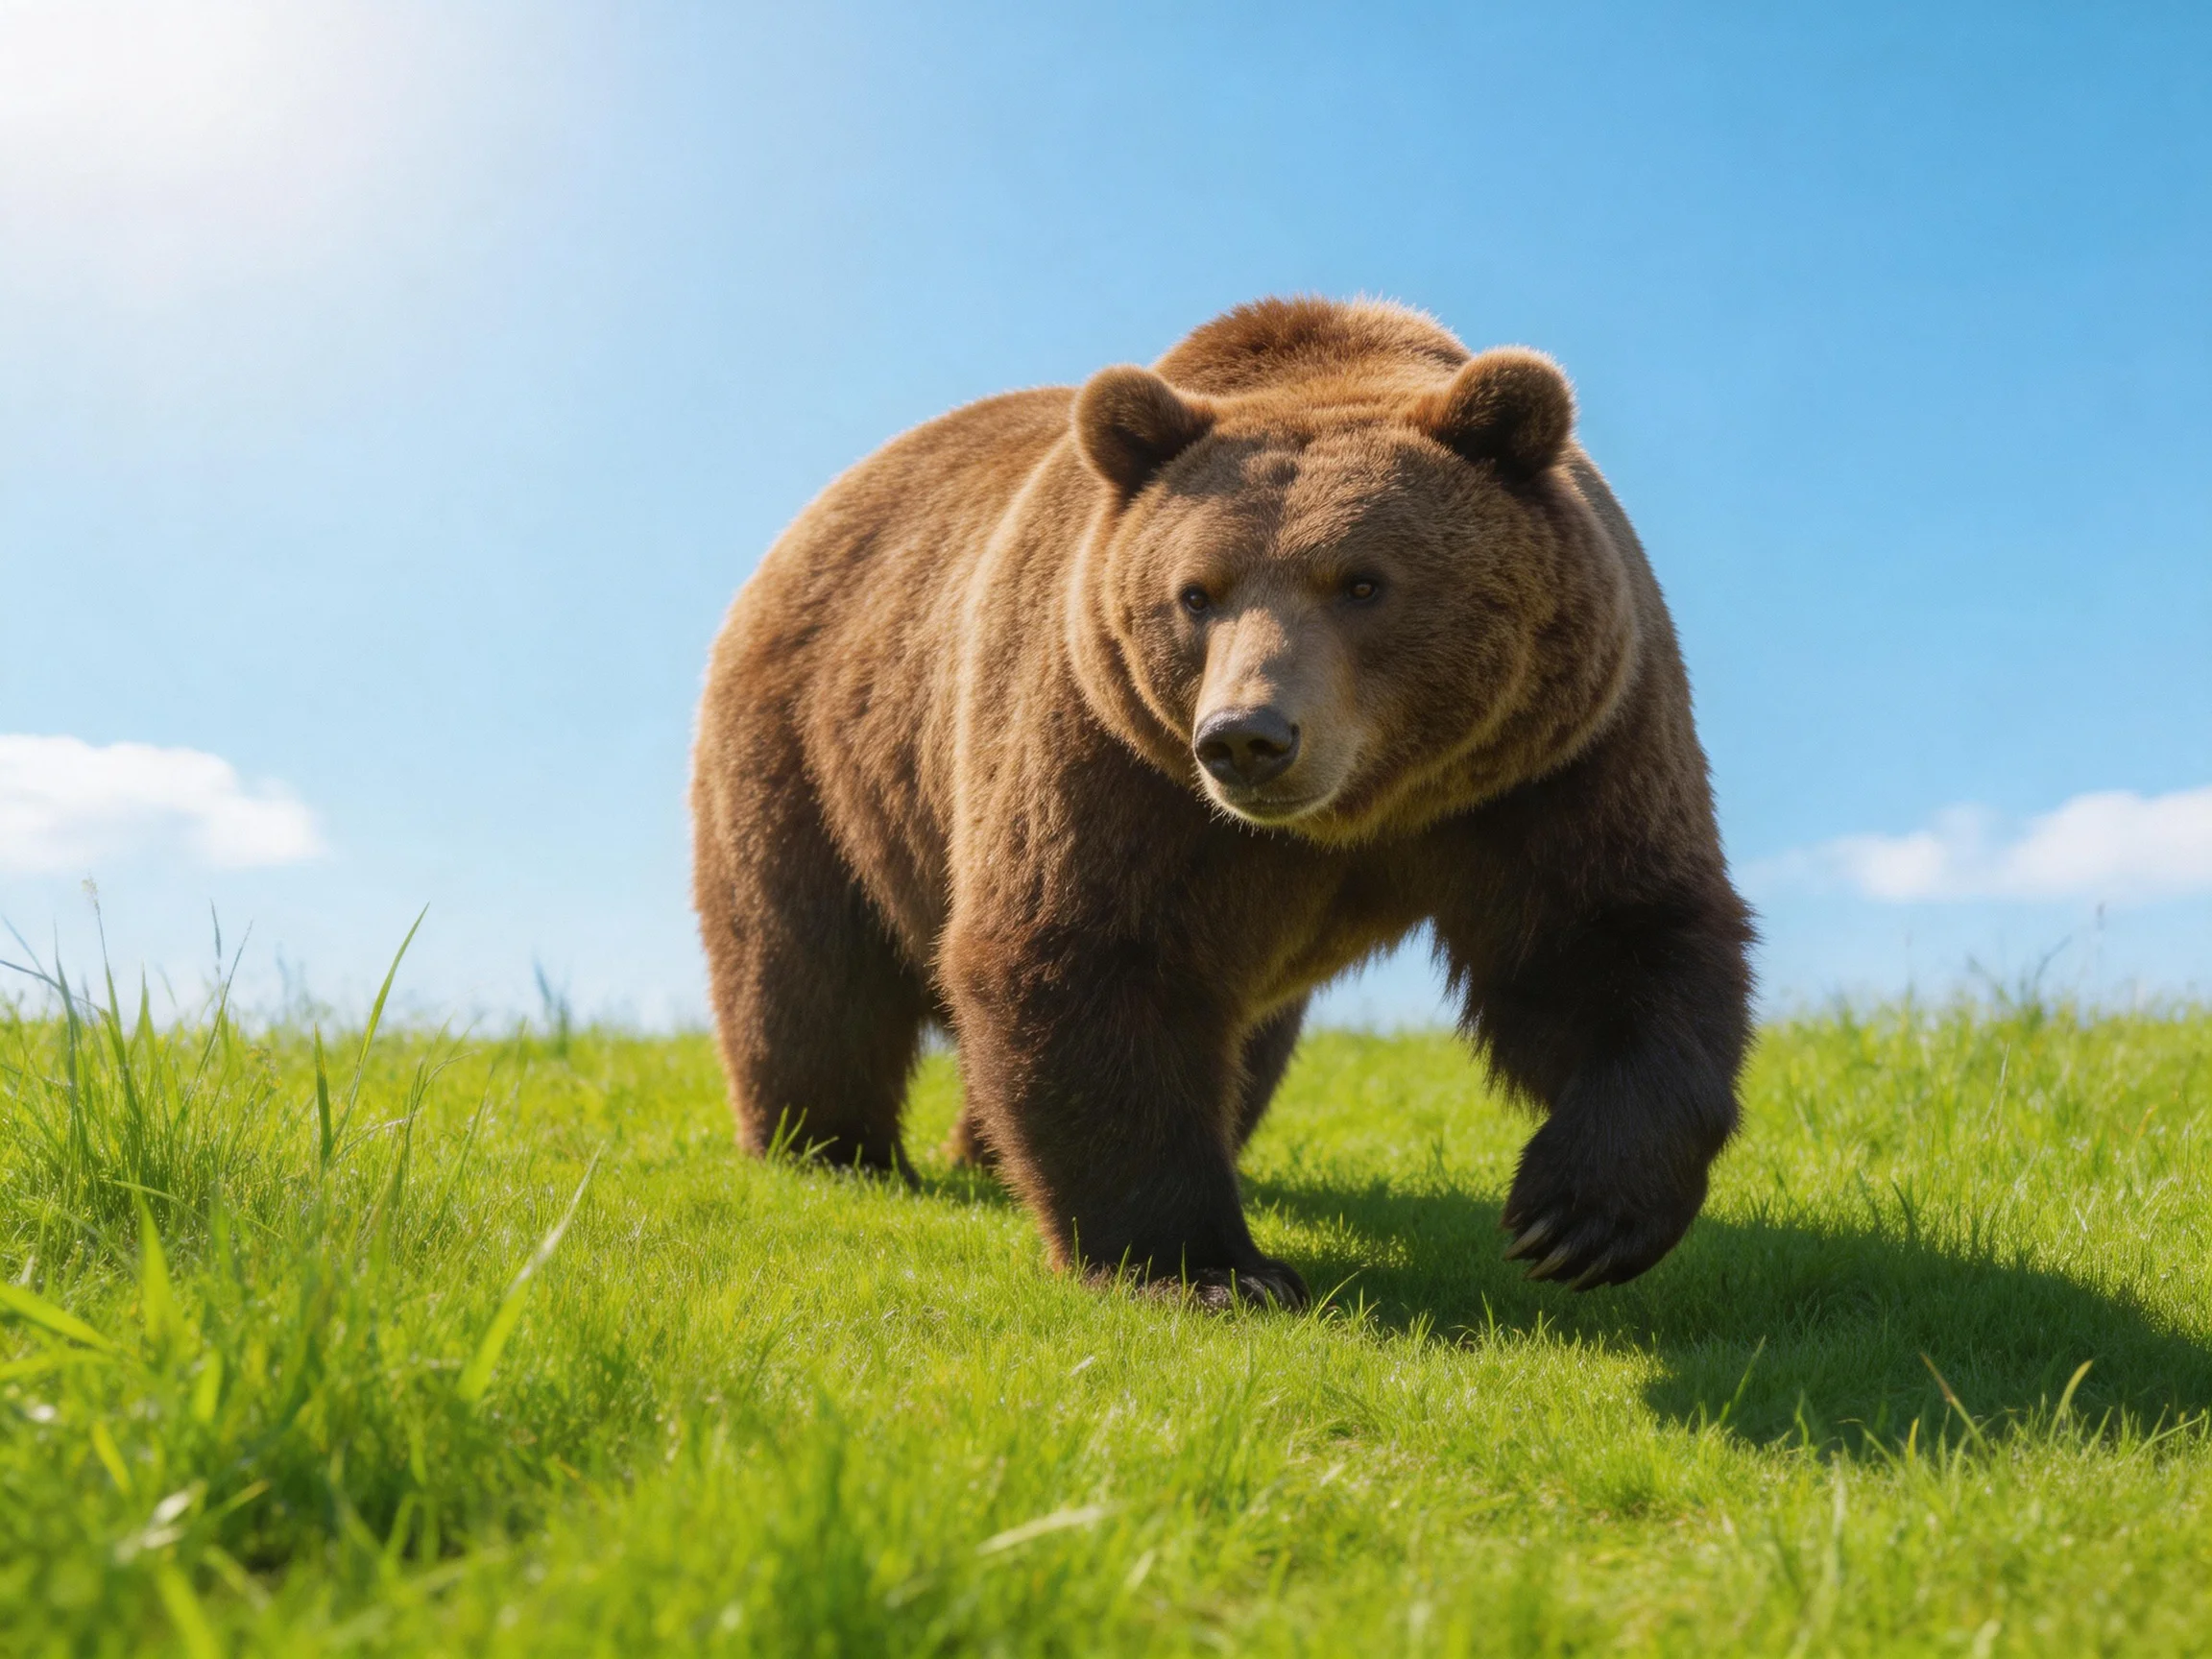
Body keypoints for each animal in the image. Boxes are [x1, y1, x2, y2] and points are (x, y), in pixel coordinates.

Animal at [691, 296, 1754, 1308]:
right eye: (1195, 594)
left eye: (1362, 582)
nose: (1249, 737)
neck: (1365, 809)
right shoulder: (1111, 750)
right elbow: (1088, 952)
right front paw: (1206, 1269)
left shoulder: (1557, 752)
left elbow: (1608, 936)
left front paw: (1579, 1216)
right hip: (812, 745)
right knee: (807, 966)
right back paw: (830, 1148)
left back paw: (981, 1151)